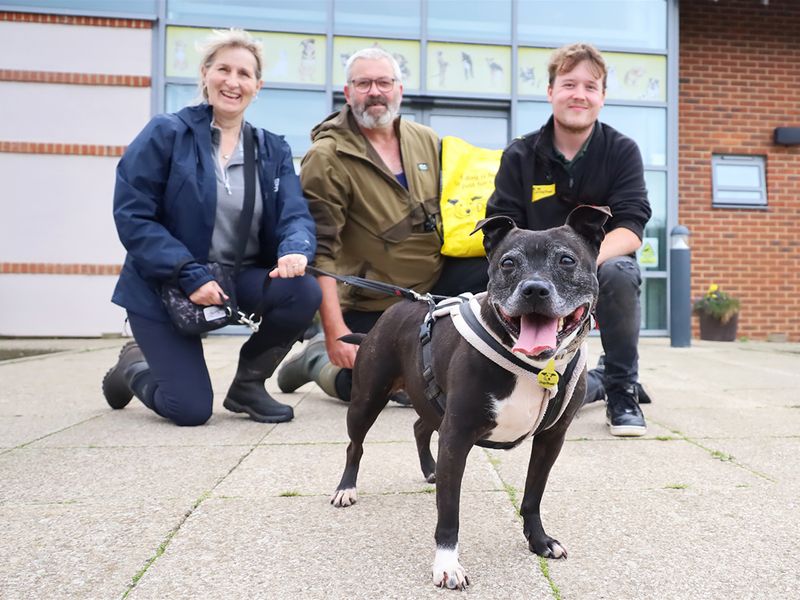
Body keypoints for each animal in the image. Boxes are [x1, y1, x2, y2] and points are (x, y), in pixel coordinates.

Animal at [328, 204, 608, 588]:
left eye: (567, 260)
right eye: (508, 263)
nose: (534, 289)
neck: (535, 365)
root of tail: (398, 307)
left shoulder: (551, 439)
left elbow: (533, 495)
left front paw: (539, 541)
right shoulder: (457, 435)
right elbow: (449, 510)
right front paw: (447, 564)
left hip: (428, 401)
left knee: (420, 427)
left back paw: (430, 470)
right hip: (366, 400)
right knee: (354, 445)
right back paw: (346, 488)